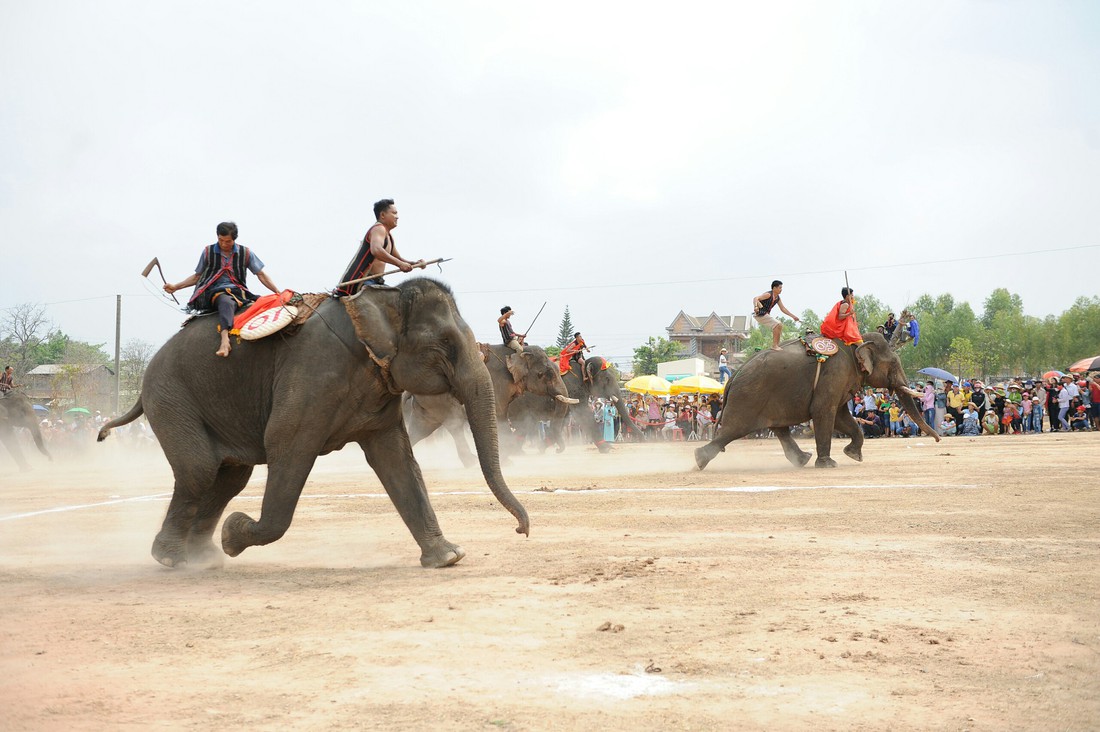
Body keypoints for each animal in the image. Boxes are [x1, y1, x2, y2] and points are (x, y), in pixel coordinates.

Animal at [97, 279, 528, 572]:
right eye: (445, 346)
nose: (522, 531)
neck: (377, 299)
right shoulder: (313, 376)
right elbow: (285, 443)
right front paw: (235, 534)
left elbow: (396, 460)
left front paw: (448, 558)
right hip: (171, 397)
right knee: (200, 469)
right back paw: (174, 558)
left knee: (229, 476)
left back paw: (204, 558)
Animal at [402, 343, 576, 462]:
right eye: (543, 374)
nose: (557, 451)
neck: (518, 352)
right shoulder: (497, 384)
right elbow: (499, 416)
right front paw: (506, 459)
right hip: (440, 400)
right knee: (454, 425)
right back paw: (472, 462)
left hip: (428, 403)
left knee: (422, 429)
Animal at [695, 330, 937, 468]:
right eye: (893, 364)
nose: (937, 440)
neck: (855, 341)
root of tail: (732, 377)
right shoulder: (835, 375)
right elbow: (825, 412)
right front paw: (830, 464)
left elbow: (841, 417)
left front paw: (853, 456)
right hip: (748, 398)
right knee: (733, 430)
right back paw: (699, 460)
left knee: (779, 429)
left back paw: (803, 460)